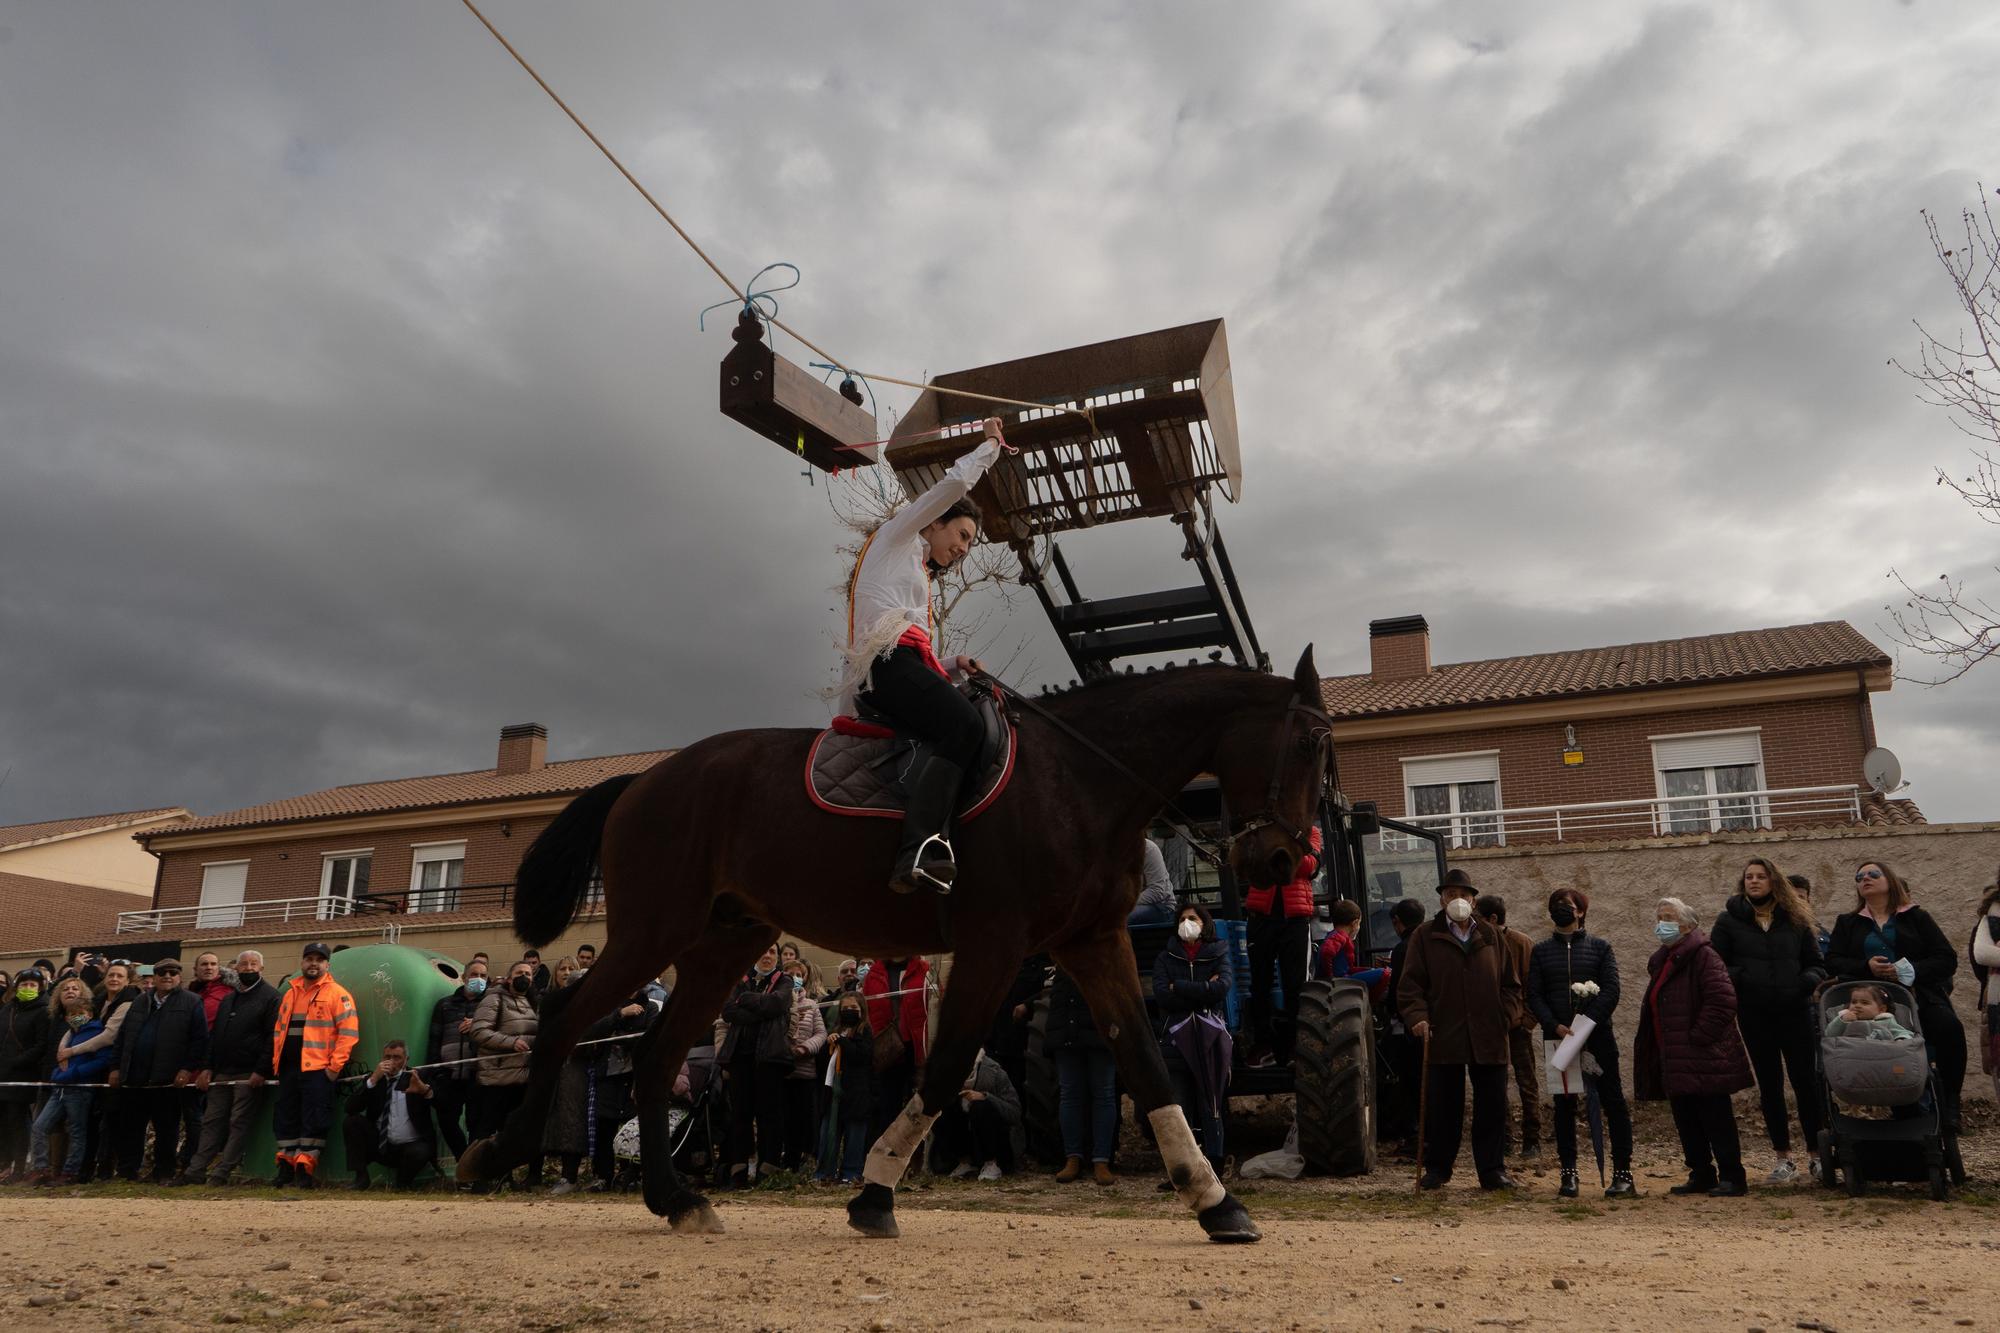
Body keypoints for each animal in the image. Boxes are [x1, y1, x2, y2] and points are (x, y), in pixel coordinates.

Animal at [452, 644, 1328, 1232]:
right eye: (1309, 744)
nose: (1286, 862)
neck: (1078, 781)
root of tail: (645, 779)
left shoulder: (1090, 941)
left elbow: (1145, 1062)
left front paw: (1217, 1199)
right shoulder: (996, 942)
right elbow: (946, 1067)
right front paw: (873, 1193)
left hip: (721, 946)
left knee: (658, 1058)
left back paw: (675, 1198)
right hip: (652, 930)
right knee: (566, 1019)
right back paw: (495, 1152)